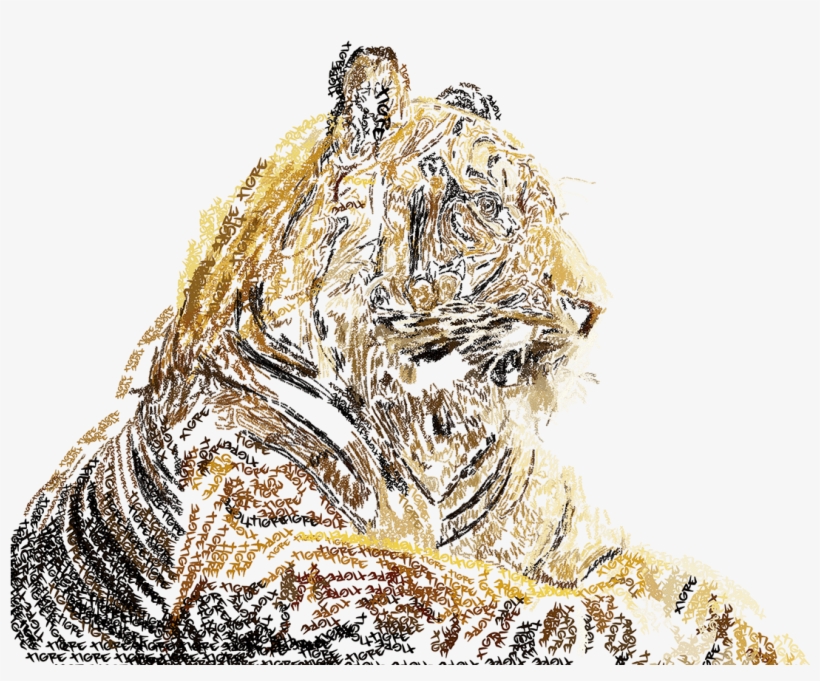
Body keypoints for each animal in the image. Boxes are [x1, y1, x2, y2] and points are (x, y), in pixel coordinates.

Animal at [9, 45, 806, 665]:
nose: (594, 308)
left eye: (553, 211)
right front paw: (628, 623)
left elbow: (697, 587)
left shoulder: (580, 536)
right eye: (489, 206)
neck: (428, 417)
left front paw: (745, 638)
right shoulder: (247, 541)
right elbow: (435, 580)